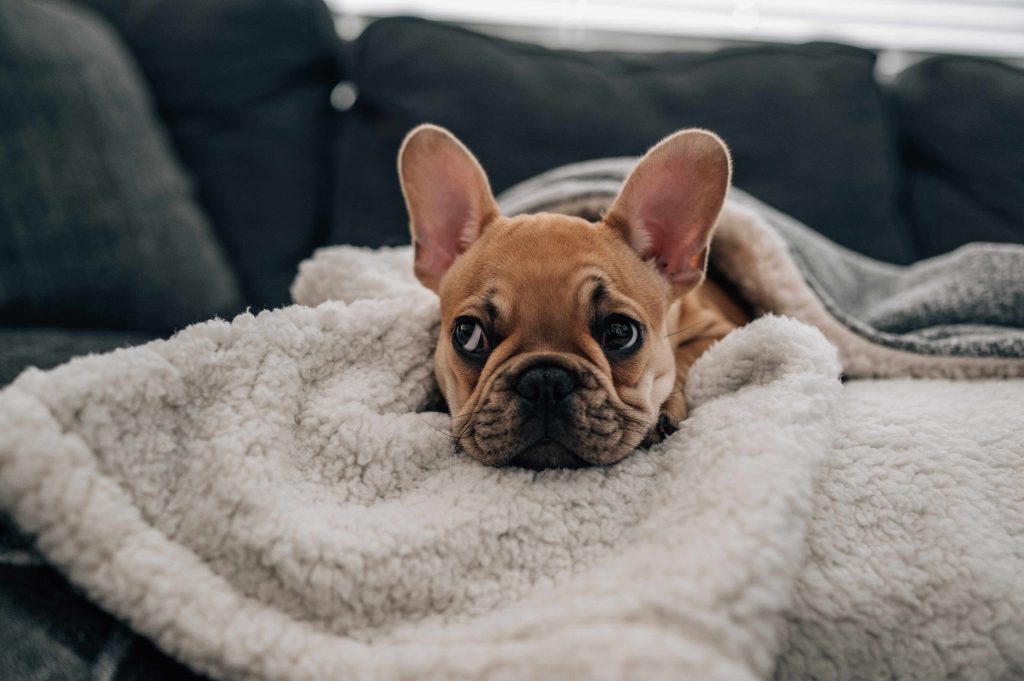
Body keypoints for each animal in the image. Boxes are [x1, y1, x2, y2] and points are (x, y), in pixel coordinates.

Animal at [403, 124, 749, 466]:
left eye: (621, 332)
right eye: (469, 335)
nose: (544, 381)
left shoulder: (717, 329)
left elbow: (687, 360)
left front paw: (665, 409)